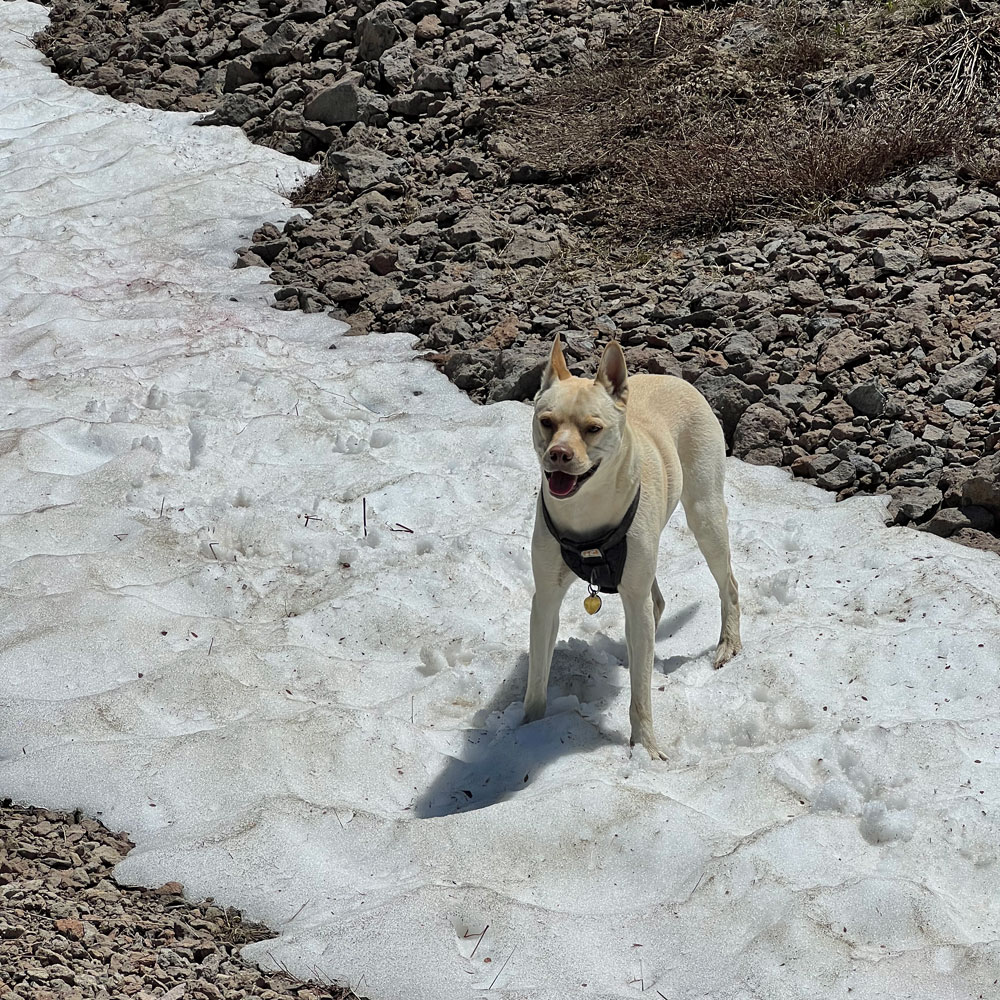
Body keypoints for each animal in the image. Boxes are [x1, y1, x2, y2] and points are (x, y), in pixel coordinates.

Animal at [524, 336, 744, 756]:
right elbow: (537, 678)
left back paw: (728, 644)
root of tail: (675, 378)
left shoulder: (634, 595)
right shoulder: (545, 600)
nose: (558, 454)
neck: (585, 512)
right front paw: (523, 733)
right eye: (546, 422)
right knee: (656, 602)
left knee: (728, 585)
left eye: (593, 428)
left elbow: (641, 694)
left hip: (705, 514)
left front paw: (644, 748)